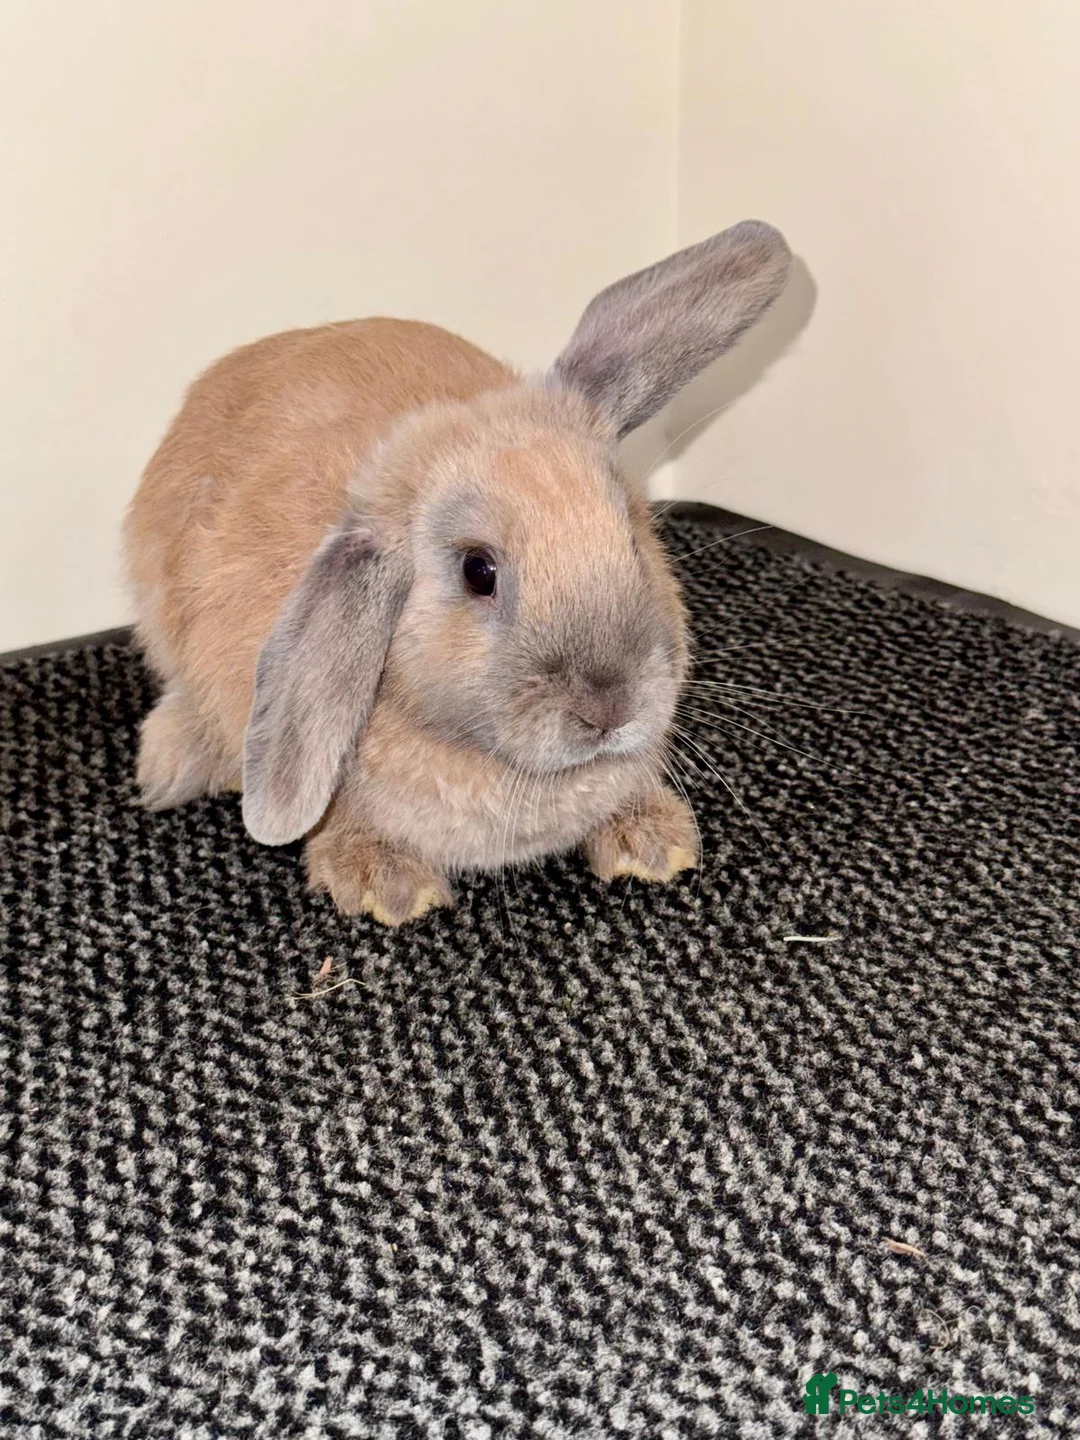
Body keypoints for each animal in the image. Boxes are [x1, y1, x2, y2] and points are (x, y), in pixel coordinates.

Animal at [124, 220, 791, 925]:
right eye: (478, 572)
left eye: (632, 540)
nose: (610, 708)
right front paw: (385, 884)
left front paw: (651, 843)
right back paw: (172, 764)